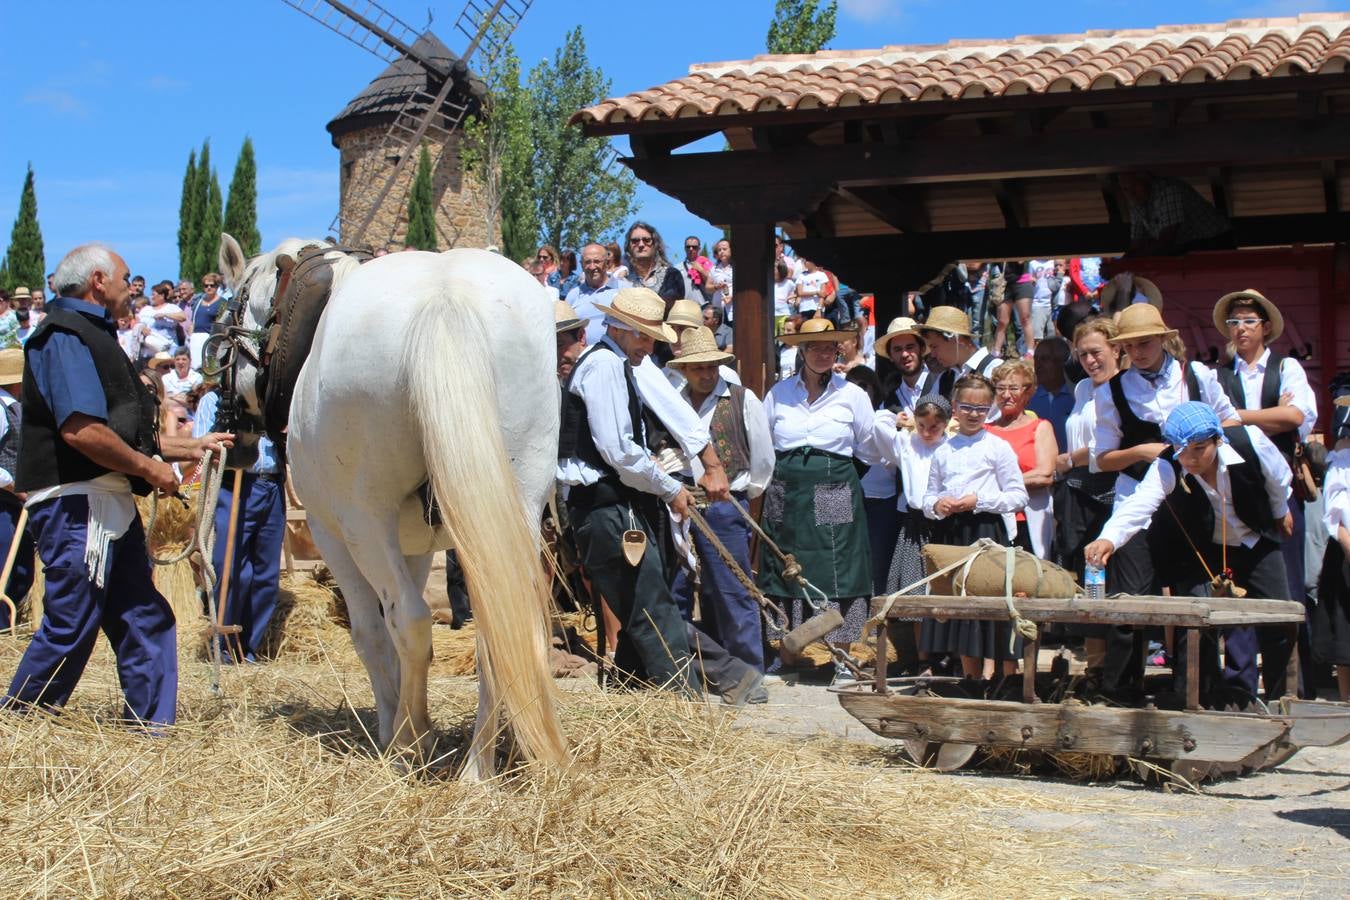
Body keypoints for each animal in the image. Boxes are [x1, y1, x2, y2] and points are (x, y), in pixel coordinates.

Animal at [218, 236, 567, 777]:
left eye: (228, 325)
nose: (232, 435)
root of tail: (445, 297)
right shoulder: (417, 543)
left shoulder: (332, 533)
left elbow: (371, 631)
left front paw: (398, 727)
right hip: (516, 504)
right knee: (497, 621)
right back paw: (476, 770)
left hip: (364, 520)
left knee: (409, 619)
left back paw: (408, 741)